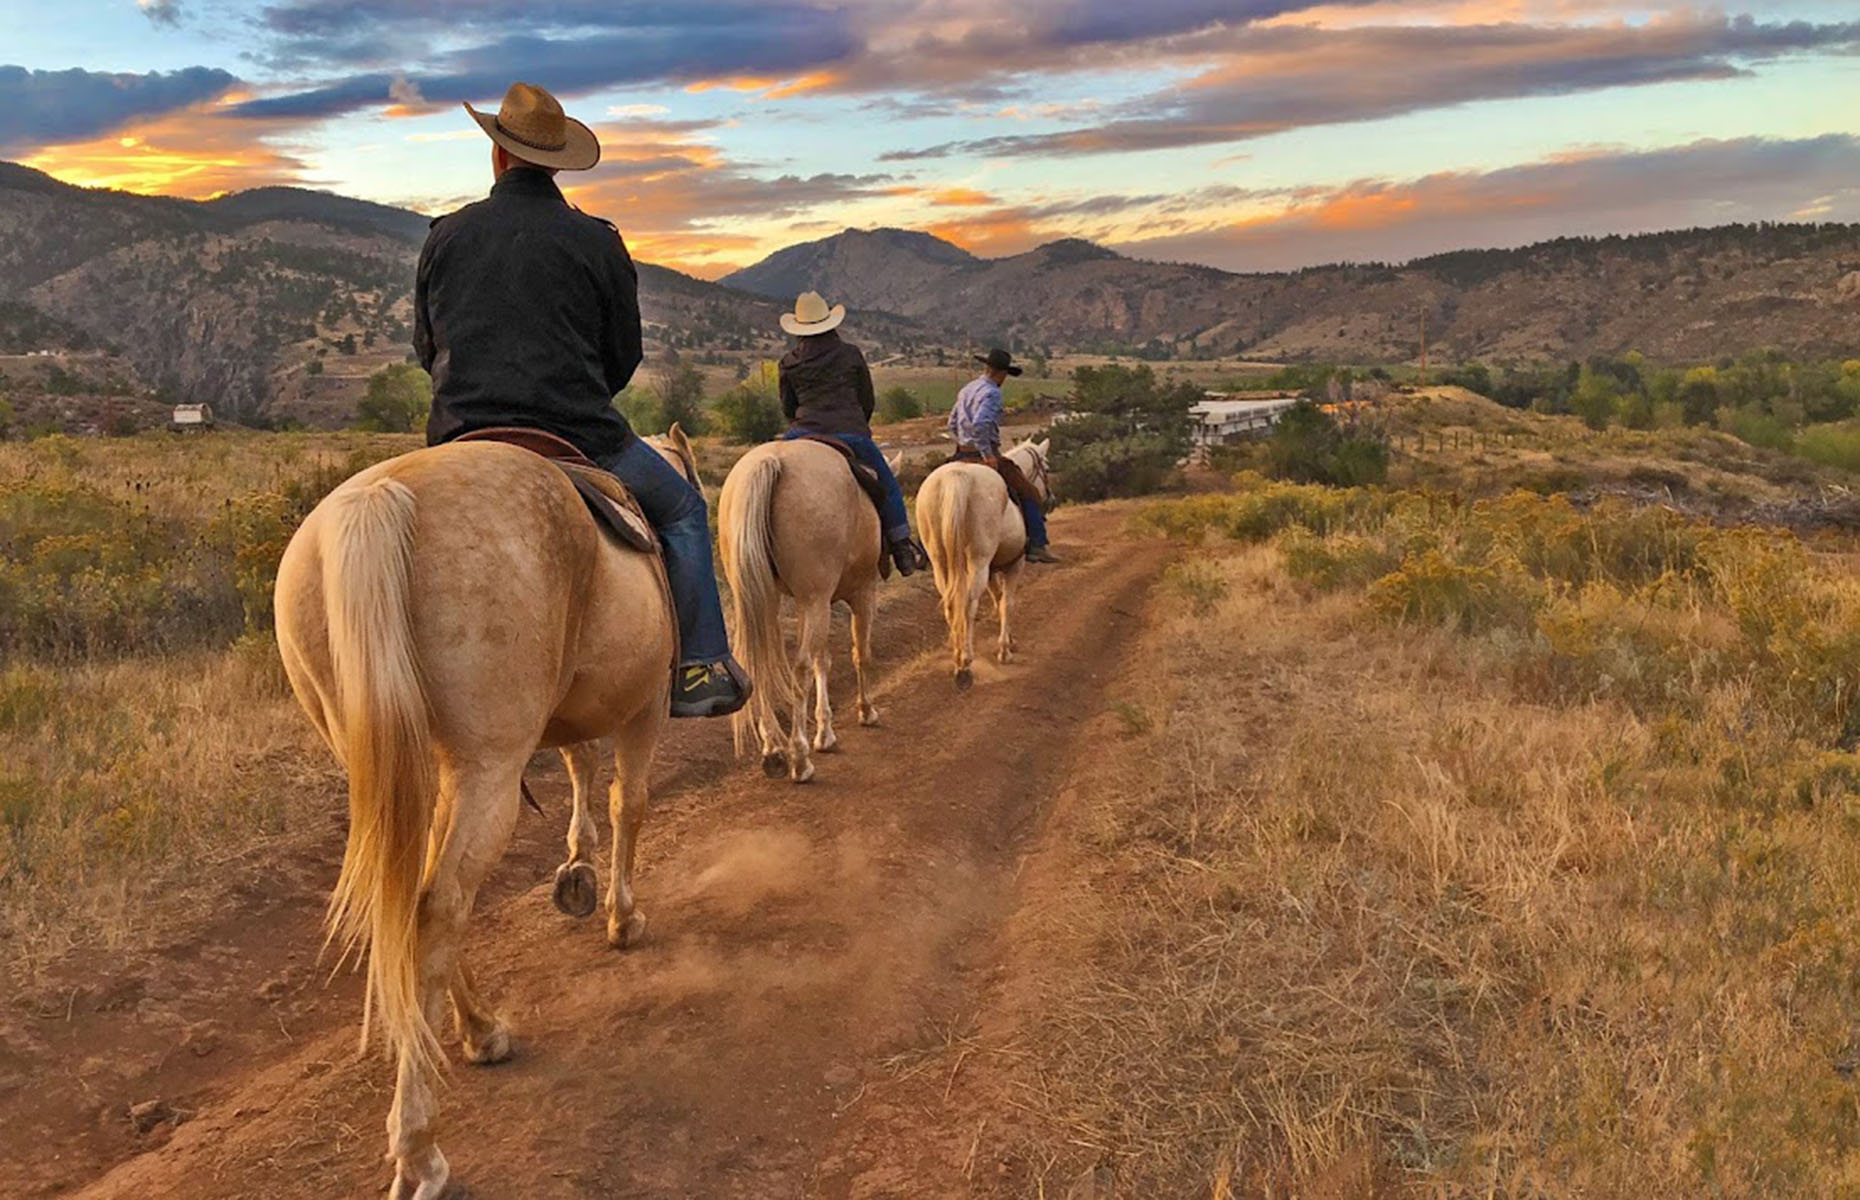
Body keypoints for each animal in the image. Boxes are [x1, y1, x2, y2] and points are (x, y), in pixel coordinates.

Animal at [277, 426, 703, 1190]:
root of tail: (379, 499)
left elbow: (580, 764)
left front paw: (577, 872)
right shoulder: (644, 708)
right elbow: (629, 802)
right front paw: (622, 917)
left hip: (415, 766)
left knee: (417, 899)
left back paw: (478, 1031)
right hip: (490, 767)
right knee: (439, 904)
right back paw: (420, 1148)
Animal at [717, 435, 892, 781]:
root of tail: (770, 462)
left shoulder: (814, 603)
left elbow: (823, 661)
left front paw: (825, 731)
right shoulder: (861, 593)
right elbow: (860, 653)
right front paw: (866, 710)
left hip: (765, 601)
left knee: (761, 665)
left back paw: (773, 749)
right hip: (814, 600)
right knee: (800, 669)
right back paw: (799, 758)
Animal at [915, 437, 1049, 684]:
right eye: (1047, 467)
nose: (1049, 498)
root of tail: (957, 478)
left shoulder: (992, 568)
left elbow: (997, 598)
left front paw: (1009, 640)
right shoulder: (1014, 564)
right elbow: (1007, 603)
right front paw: (1005, 649)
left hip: (941, 562)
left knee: (951, 604)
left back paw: (958, 656)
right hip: (979, 561)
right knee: (969, 603)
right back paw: (965, 663)